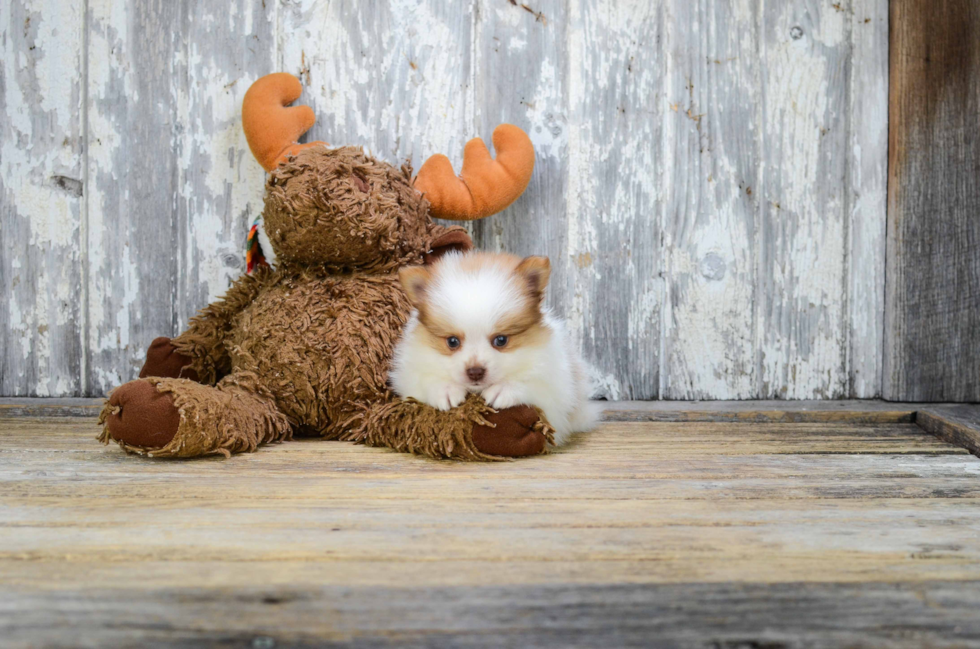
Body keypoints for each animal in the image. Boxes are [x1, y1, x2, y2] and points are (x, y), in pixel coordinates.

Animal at [388, 249, 600, 446]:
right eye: (452, 342)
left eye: (501, 340)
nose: (475, 372)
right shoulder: (409, 373)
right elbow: (422, 380)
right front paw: (445, 389)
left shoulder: (556, 386)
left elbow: (533, 385)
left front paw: (504, 389)